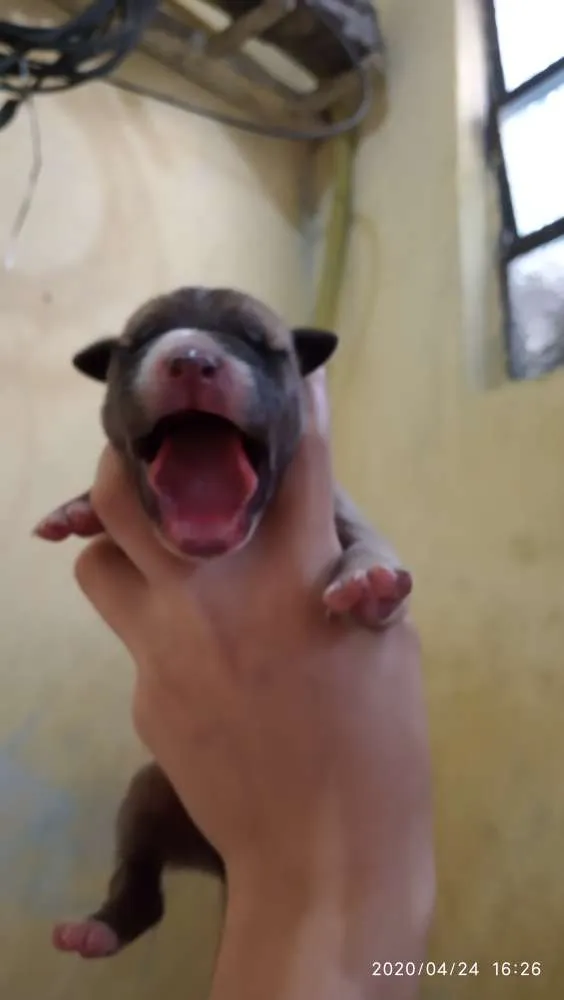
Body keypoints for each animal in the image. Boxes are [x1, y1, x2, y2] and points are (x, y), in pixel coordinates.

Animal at [36, 286, 414, 956]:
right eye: (139, 342)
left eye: (260, 344)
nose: (190, 359)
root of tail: (223, 862)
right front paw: (77, 508)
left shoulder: (345, 511)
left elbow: (369, 545)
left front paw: (369, 581)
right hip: (149, 795)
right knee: (141, 882)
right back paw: (99, 928)